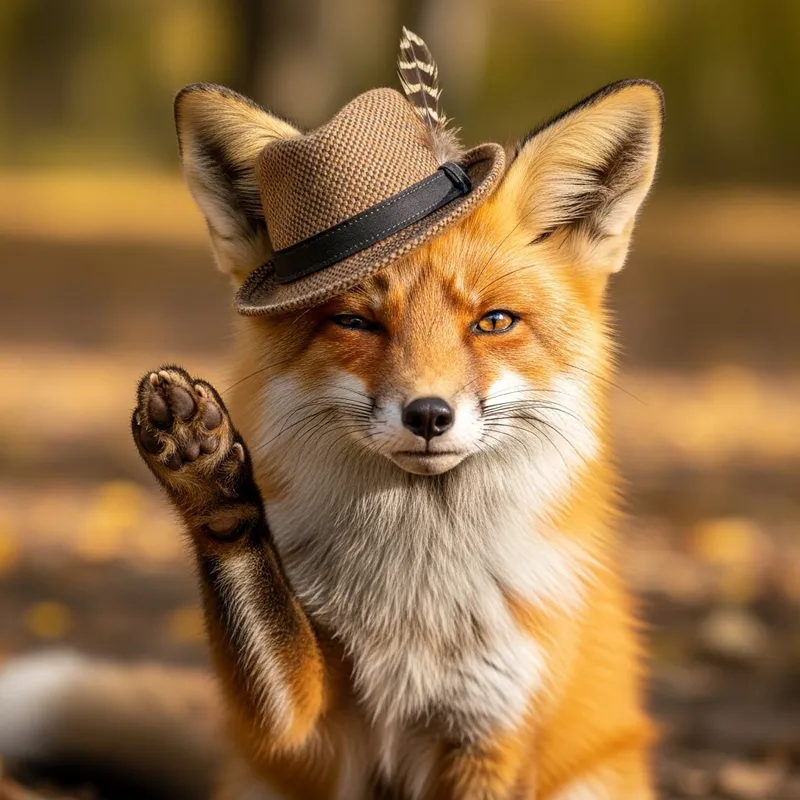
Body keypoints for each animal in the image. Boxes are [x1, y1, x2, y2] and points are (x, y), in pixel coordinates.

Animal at [0, 65, 663, 800]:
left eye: (494, 322)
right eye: (356, 322)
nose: (428, 415)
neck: (415, 594)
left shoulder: (492, 733)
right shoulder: (303, 731)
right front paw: (208, 484)